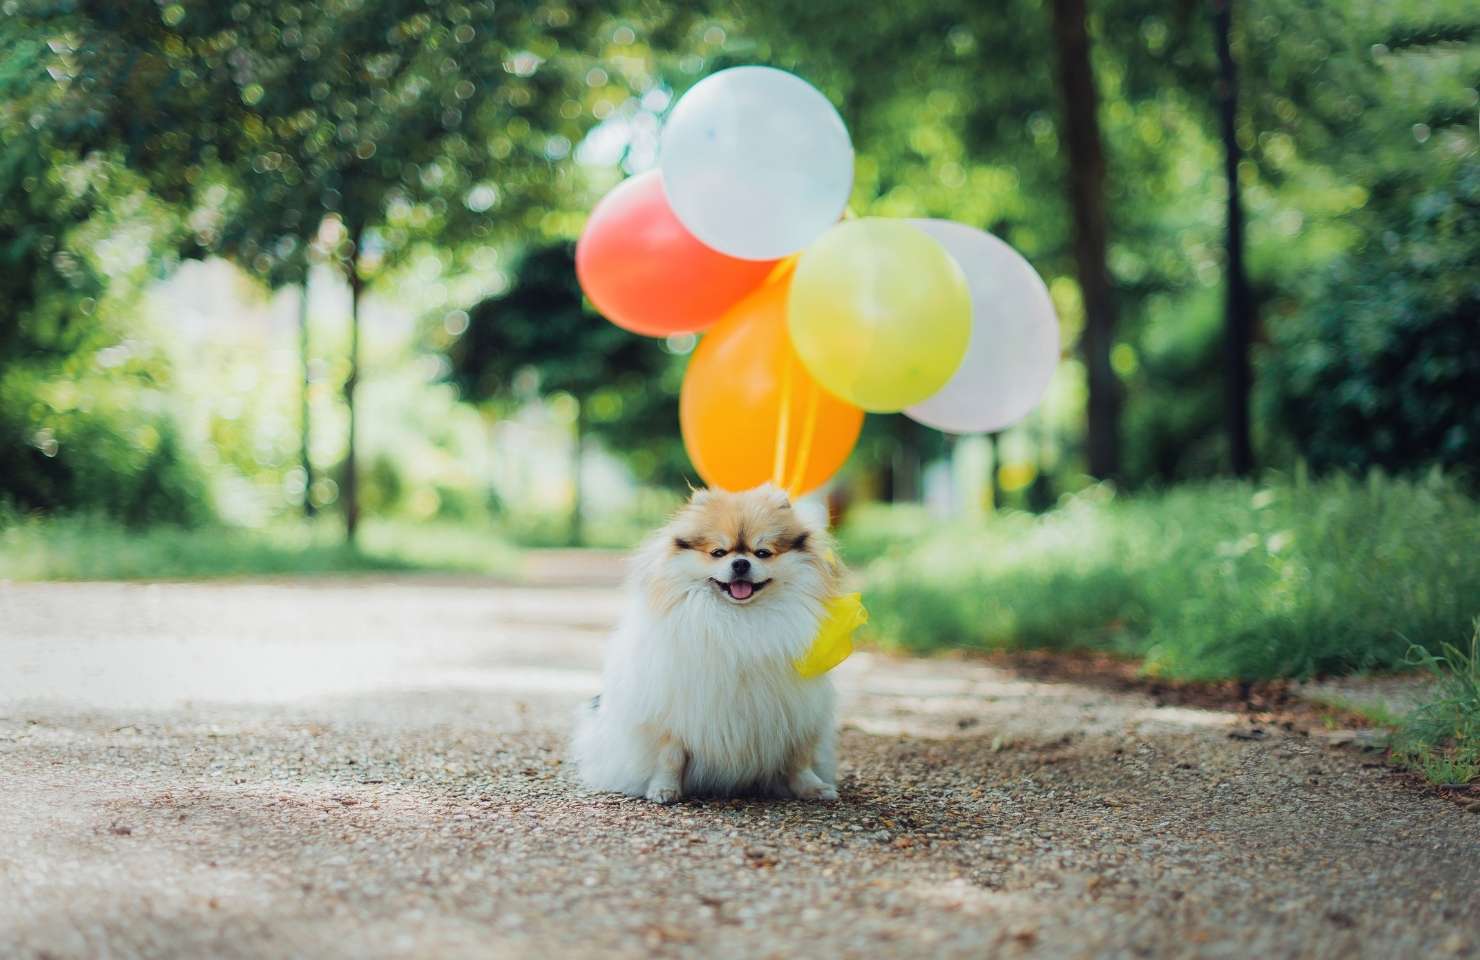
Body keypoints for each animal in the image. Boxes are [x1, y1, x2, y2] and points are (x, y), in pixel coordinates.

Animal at [571, 488, 840, 798]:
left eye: (763, 553)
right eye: (718, 552)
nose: (741, 563)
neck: (739, 618)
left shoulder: (800, 711)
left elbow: (799, 758)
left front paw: (813, 788)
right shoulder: (674, 712)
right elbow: (671, 756)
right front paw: (664, 789)